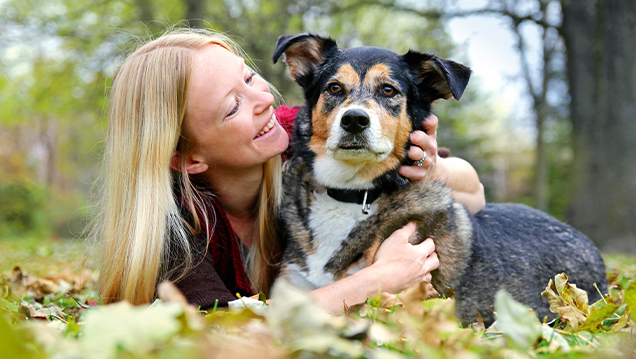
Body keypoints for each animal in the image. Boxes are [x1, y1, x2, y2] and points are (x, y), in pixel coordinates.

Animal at [270, 33, 608, 326]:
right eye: (335, 88)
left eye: (388, 90)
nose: (354, 119)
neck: (354, 193)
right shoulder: (291, 289)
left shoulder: (388, 307)